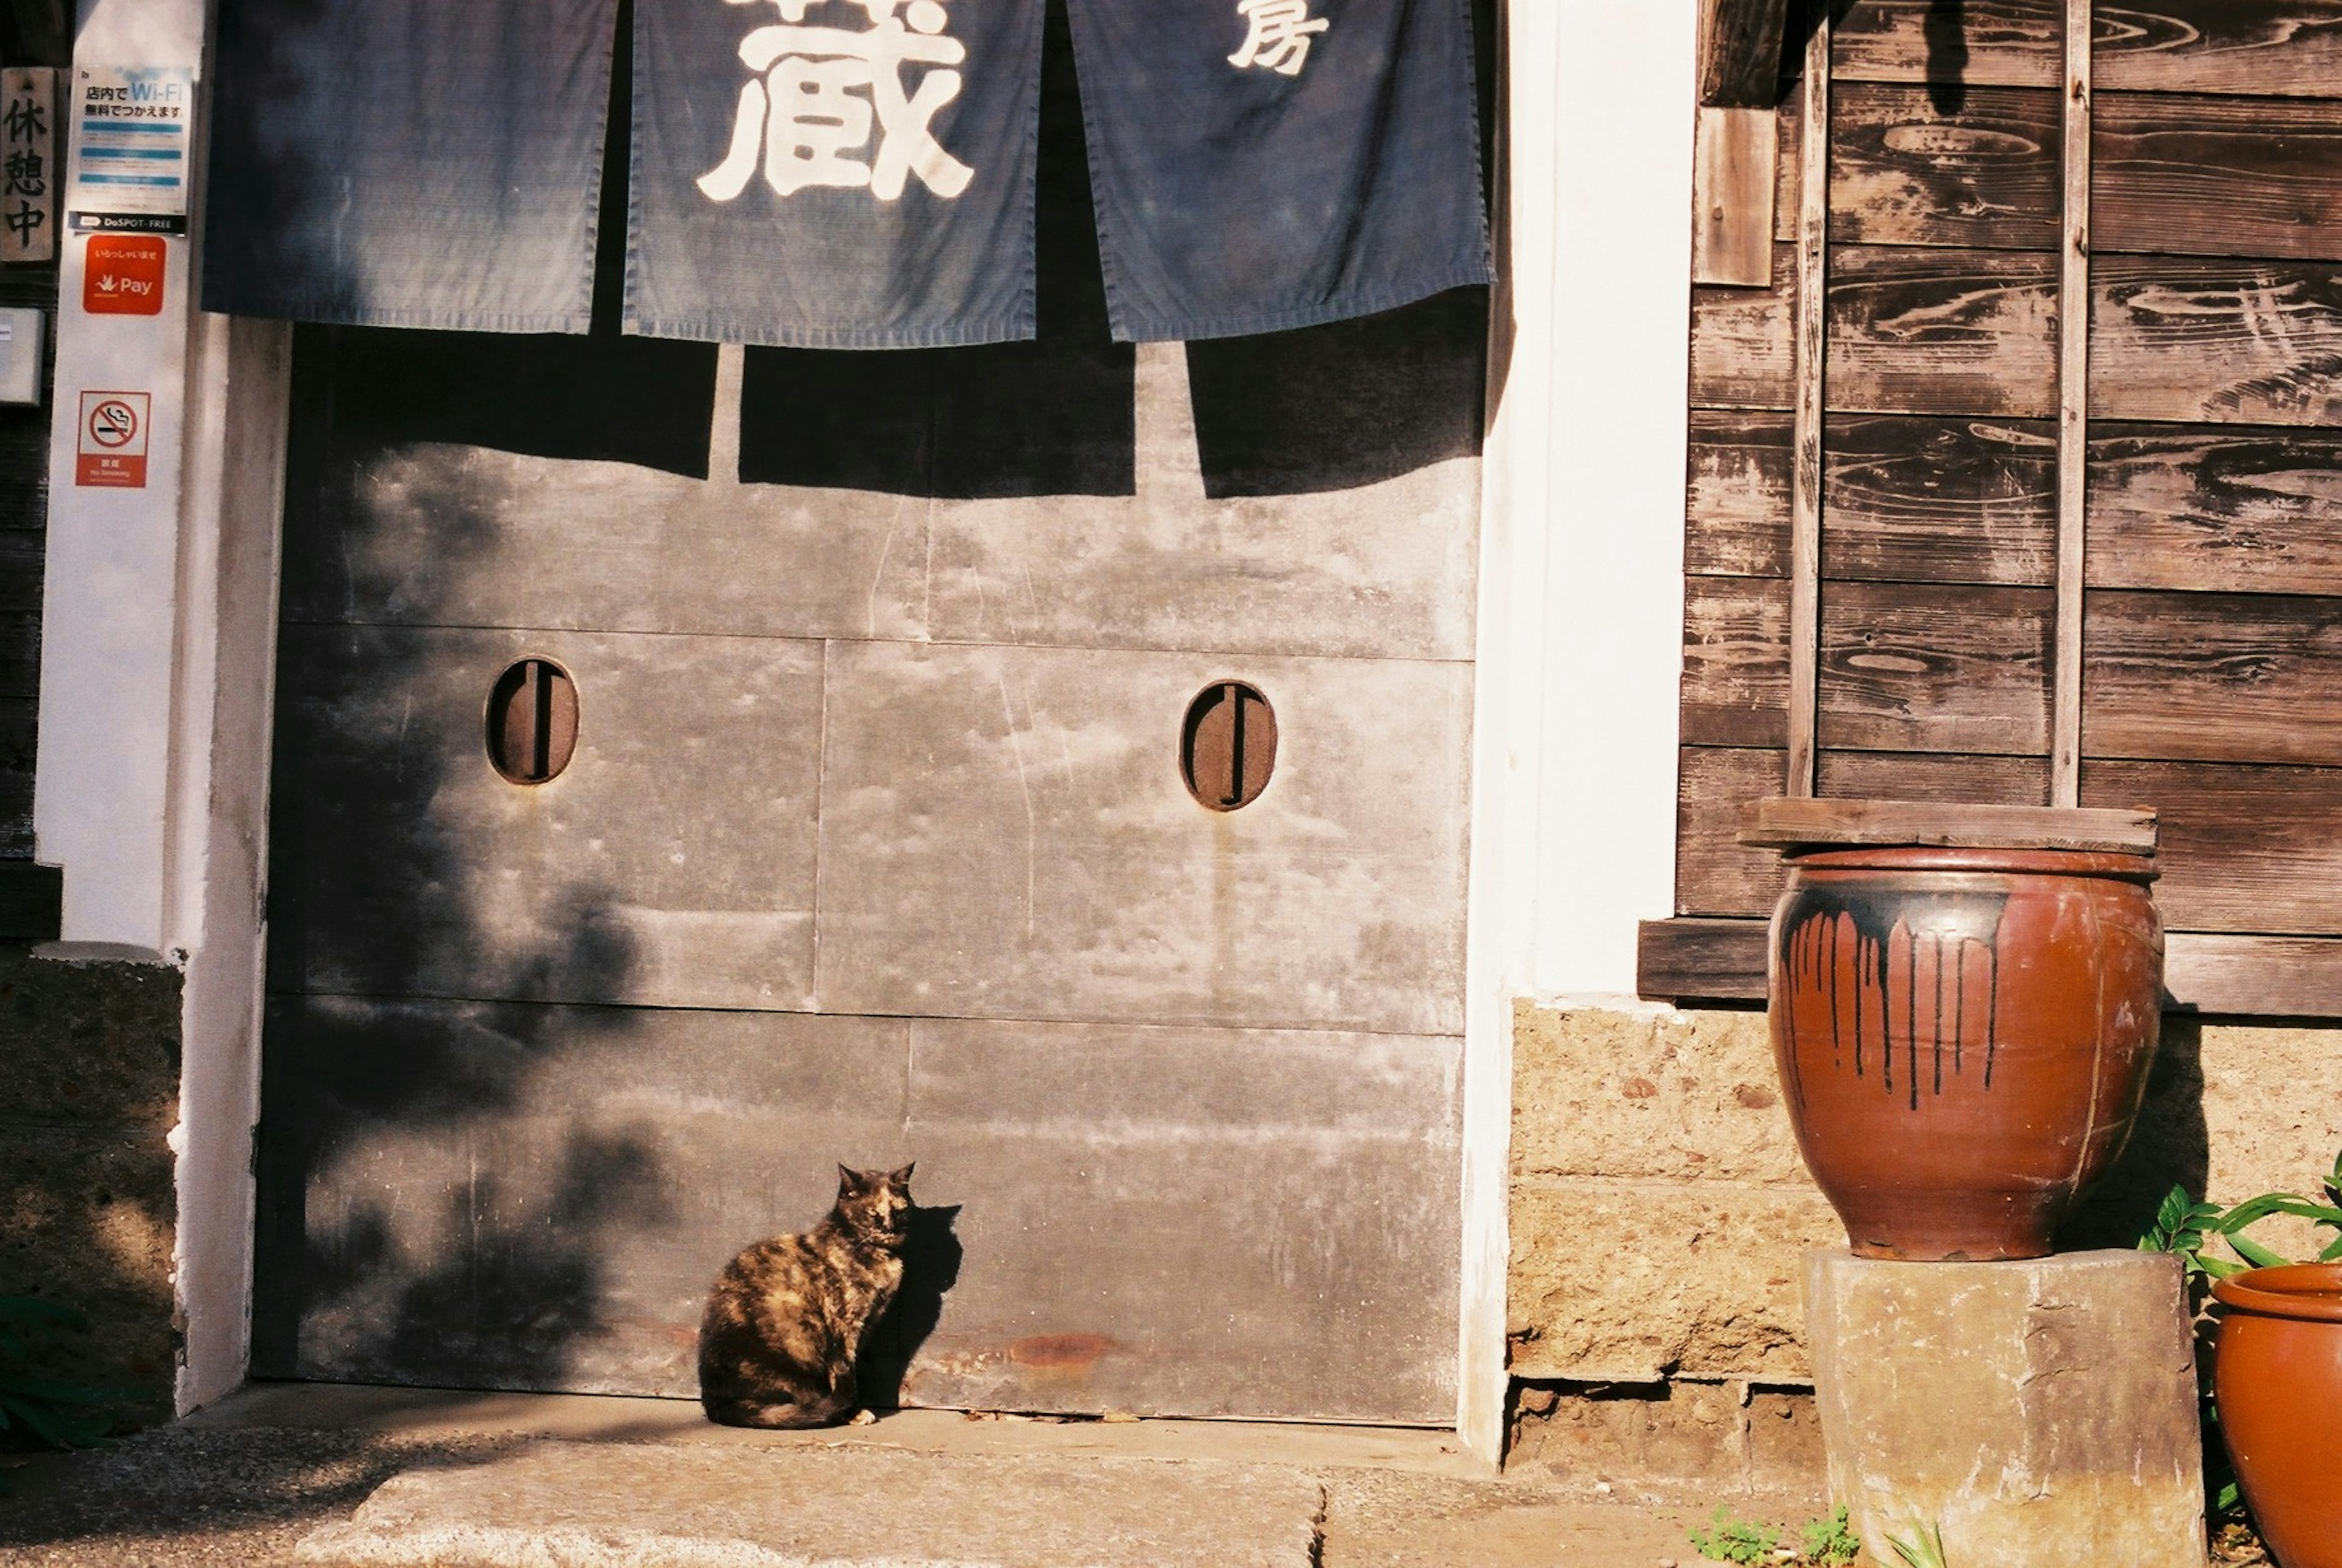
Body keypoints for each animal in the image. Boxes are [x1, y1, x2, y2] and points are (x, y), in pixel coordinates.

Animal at [693, 1165, 913, 1441]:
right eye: (872, 1213)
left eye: (900, 1211)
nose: (890, 1228)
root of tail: (714, 1403)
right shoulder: (844, 1329)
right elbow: (844, 1371)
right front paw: (852, 1413)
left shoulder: (866, 1325)